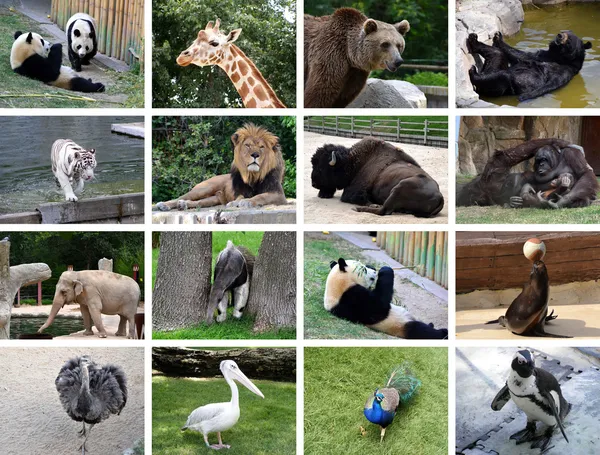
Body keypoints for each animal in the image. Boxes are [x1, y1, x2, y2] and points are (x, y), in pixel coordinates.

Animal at [154, 123, 288, 212]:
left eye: (261, 147)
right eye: (247, 145)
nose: (255, 155)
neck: (253, 176)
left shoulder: (278, 195)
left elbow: (261, 196)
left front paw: (246, 202)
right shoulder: (241, 191)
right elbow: (242, 197)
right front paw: (237, 203)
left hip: (214, 199)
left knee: (199, 202)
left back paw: (184, 205)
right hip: (204, 188)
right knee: (181, 197)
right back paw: (164, 205)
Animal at [312, 137, 442, 217]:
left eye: (321, 168)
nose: (313, 184)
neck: (352, 162)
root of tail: (440, 196)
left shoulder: (352, 191)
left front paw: (370, 203)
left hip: (400, 186)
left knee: (383, 210)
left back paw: (358, 208)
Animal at [464, 32, 592, 102]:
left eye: (569, 39)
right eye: (564, 31)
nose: (559, 35)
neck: (559, 57)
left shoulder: (564, 70)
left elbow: (552, 83)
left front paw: (524, 96)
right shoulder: (543, 56)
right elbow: (521, 55)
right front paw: (498, 37)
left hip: (503, 87)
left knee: (502, 76)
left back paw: (473, 72)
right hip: (495, 67)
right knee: (497, 53)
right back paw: (473, 40)